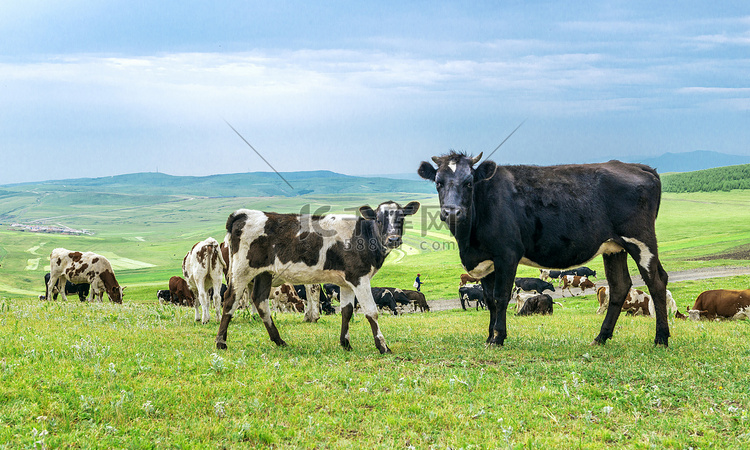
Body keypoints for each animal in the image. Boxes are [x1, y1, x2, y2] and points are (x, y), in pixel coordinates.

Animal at [216, 201, 424, 356]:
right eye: (379, 220)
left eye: (401, 217)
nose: (393, 239)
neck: (363, 236)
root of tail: (243, 214)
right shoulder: (360, 276)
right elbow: (371, 312)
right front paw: (383, 346)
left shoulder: (346, 282)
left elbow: (346, 312)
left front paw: (345, 344)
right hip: (241, 270)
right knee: (230, 300)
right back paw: (221, 342)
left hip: (264, 274)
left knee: (260, 301)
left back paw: (279, 340)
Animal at [420, 153, 672, 346]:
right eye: (438, 182)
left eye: (469, 182)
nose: (452, 212)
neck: (469, 242)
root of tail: (636, 166)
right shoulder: (485, 261)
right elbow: (489, 299)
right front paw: (490, 336)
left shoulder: (507, 254)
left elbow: (501, 297)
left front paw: (498, 338)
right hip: (614, 247)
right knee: (620, 285)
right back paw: (600, 338)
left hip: (641, 240)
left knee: (657, 281)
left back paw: (661, 338)